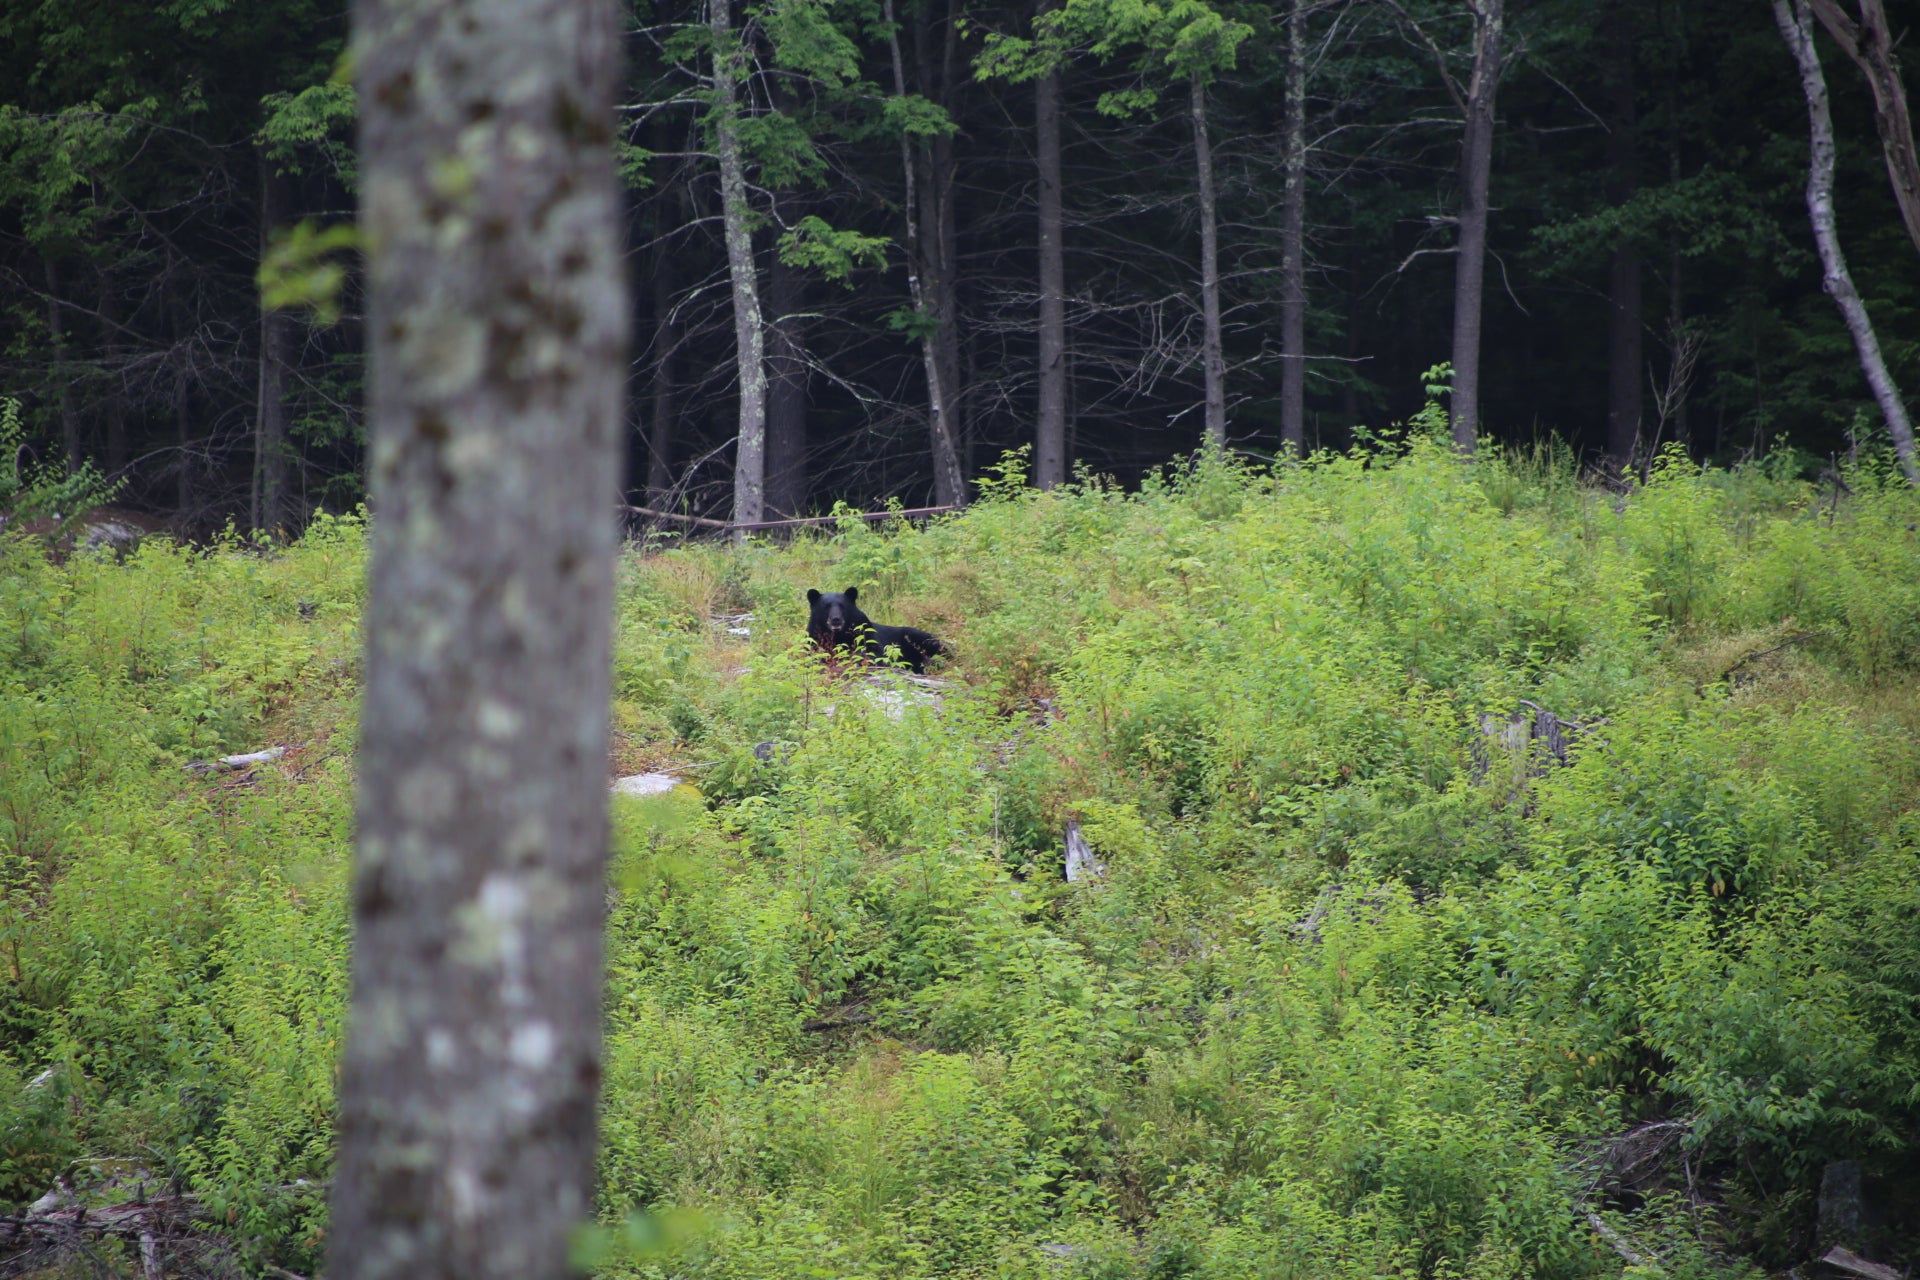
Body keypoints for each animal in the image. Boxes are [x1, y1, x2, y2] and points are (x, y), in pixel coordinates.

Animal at [806, 587, 945, 674]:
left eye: (842, 606)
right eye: (826, 606)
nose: (836, 619)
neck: (838, 635)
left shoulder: (864, 630)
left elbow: (875, 654)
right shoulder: (813, 636)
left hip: (920, 638)